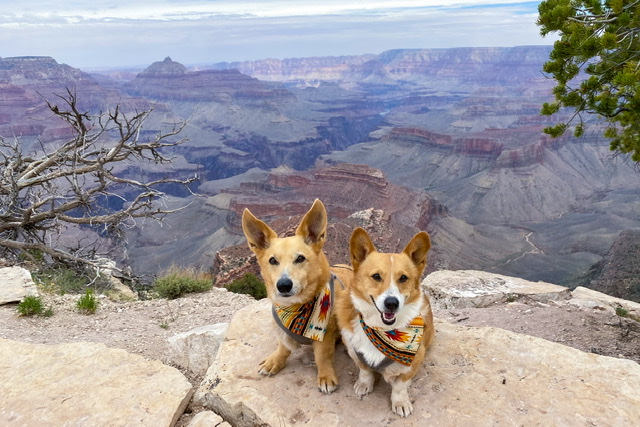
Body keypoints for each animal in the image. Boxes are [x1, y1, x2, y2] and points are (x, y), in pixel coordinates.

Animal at [241, 200, 340, 394]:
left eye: (300, 258)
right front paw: (275, 361)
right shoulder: (282, 330)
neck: (295, 308)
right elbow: (283, 346)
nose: (284, 285)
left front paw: (325, 376)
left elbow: (322, 356)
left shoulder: (325, 335)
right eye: (272, 261)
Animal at [336, 227, 436, 418]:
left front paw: (401, 402)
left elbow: (399, 386)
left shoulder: (413, 362)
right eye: (376, 276)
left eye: (403, 278)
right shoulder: (355, 351)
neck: (381, 329)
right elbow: (365, 371)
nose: (391, 303)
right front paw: (364, 384)